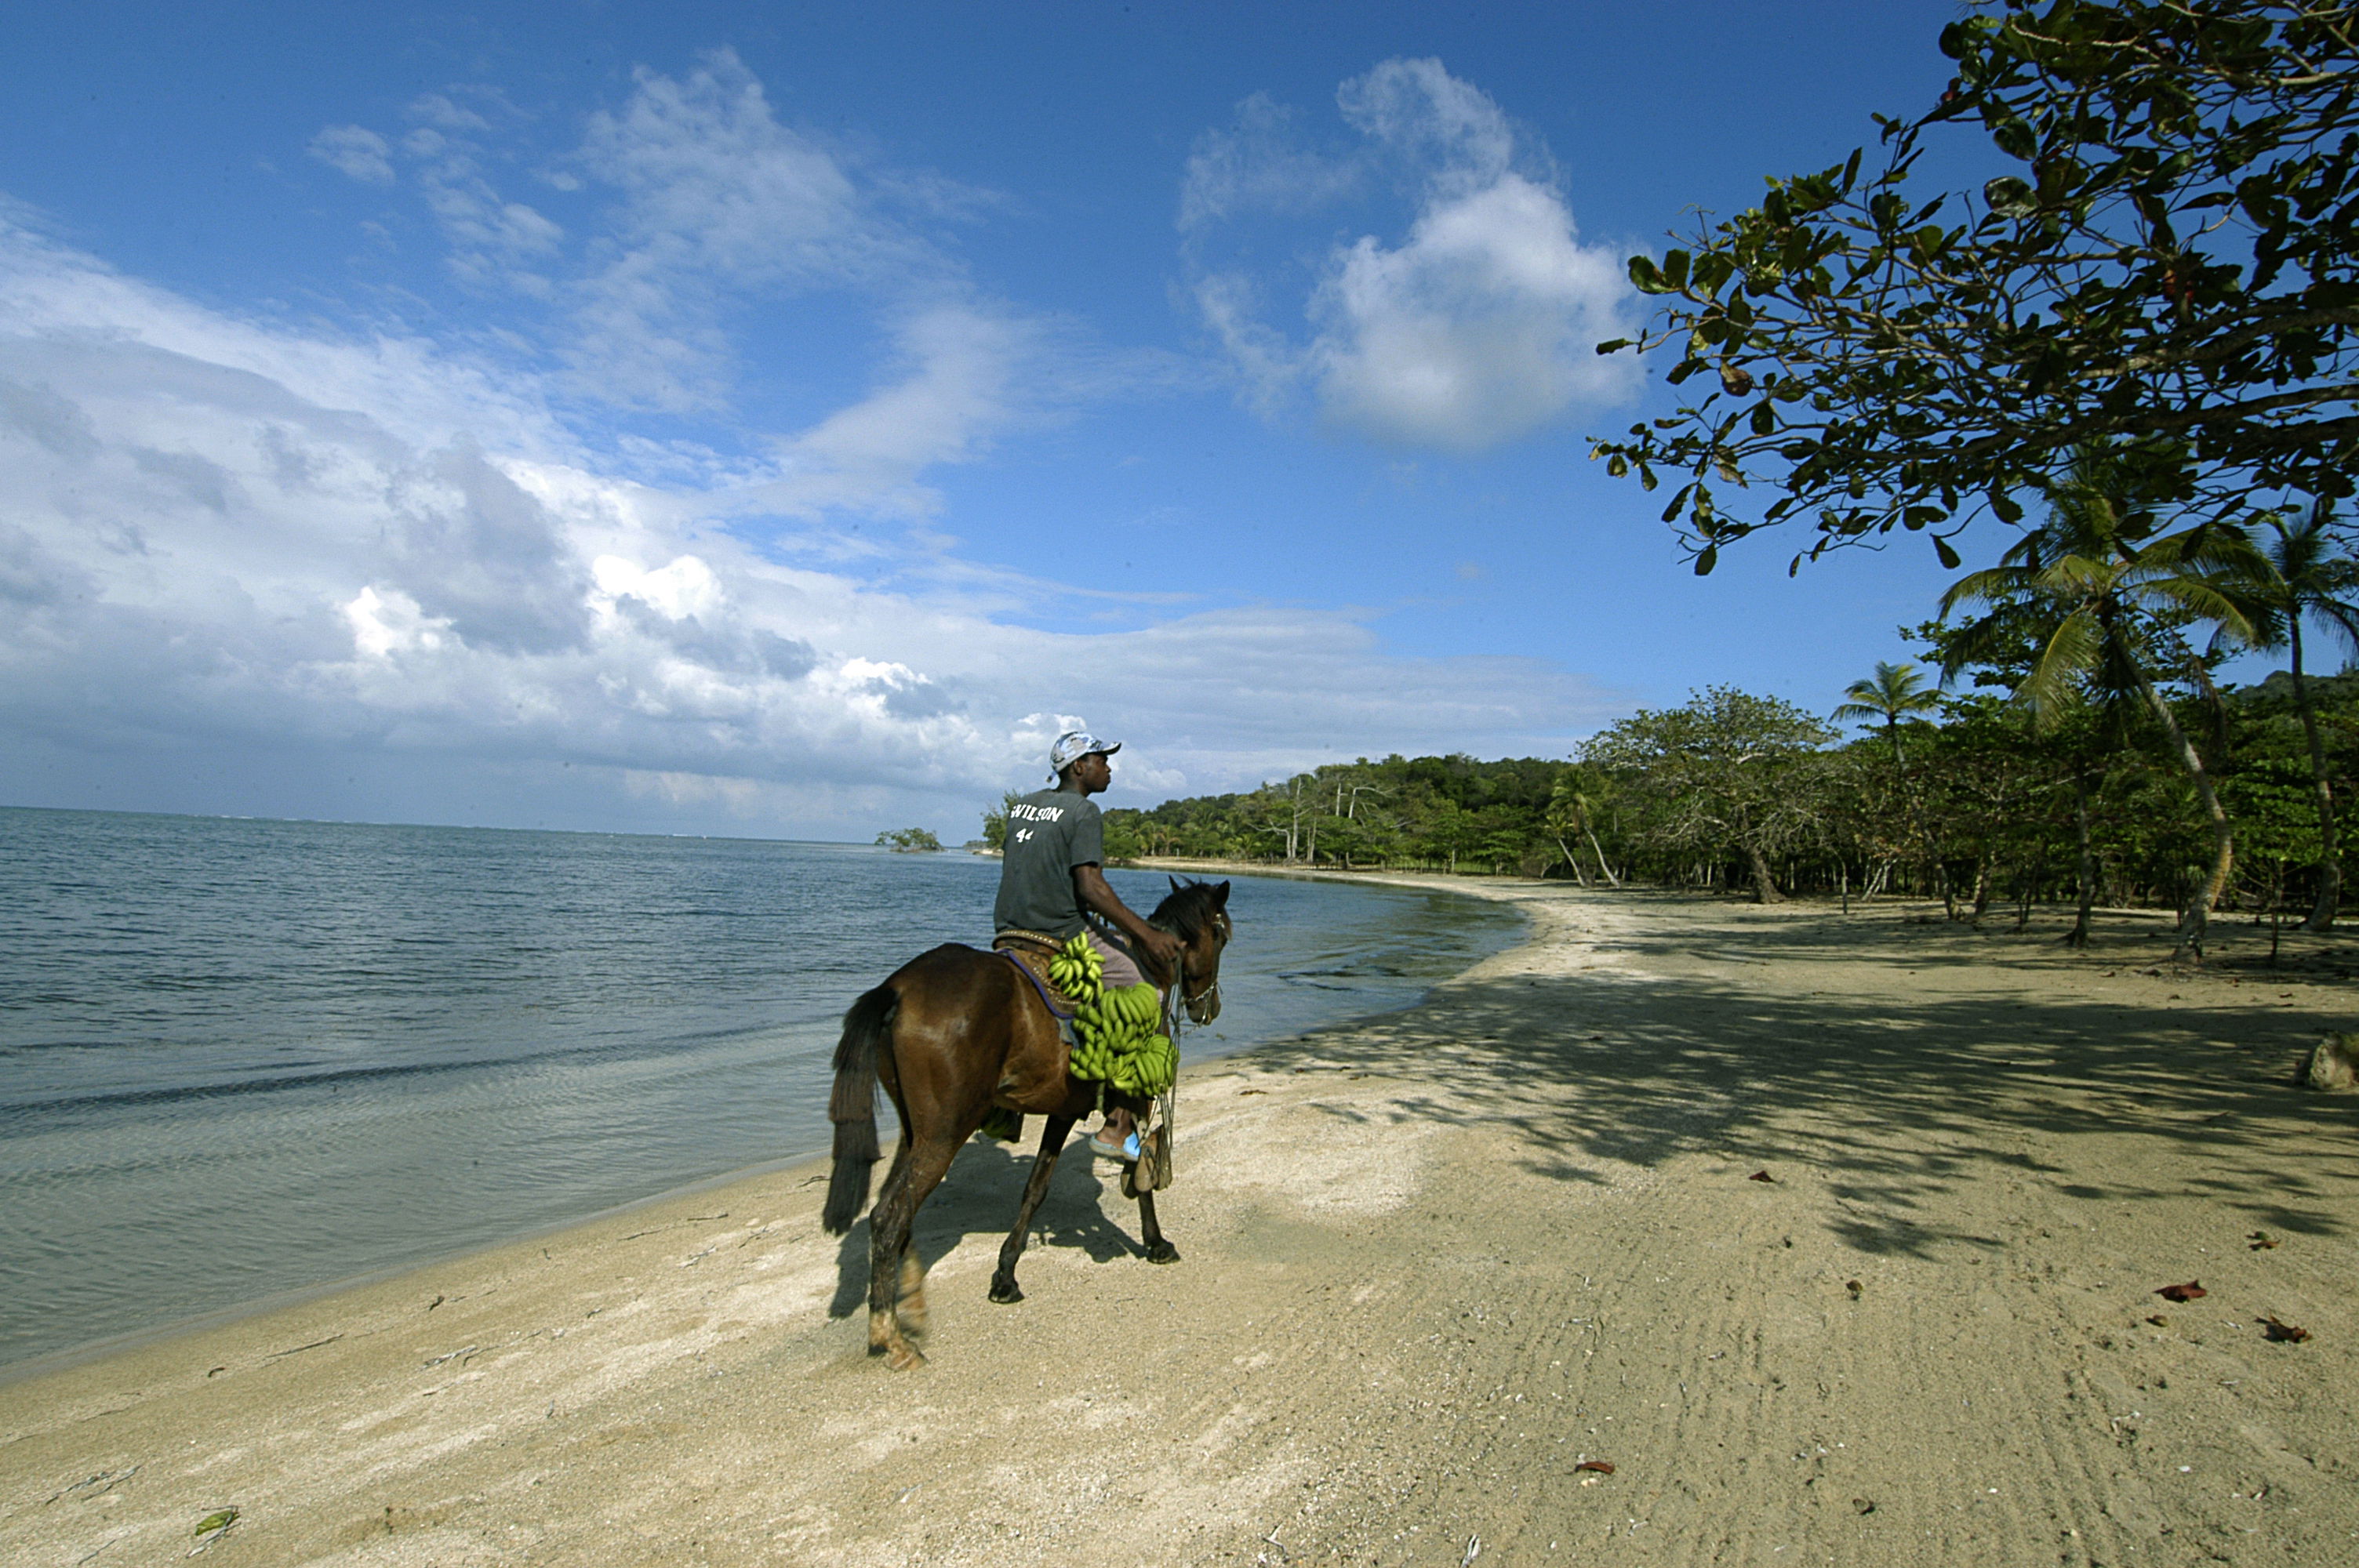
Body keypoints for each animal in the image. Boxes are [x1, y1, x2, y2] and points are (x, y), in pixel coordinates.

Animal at [820, 881, 1236, 1367]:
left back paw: (909, 1306)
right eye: (1221, 936)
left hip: (915, 1131)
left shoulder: (1062, 1111)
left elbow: (1035, 1189)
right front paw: (1156, 1243)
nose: (1211, 1007)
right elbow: (1140, 1174)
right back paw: (892, 1338)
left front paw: (1005, 1275)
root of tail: (897, 990)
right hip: (943, 1133)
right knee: (890, 1216)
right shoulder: (1134, 1098)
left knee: (891, 1211)